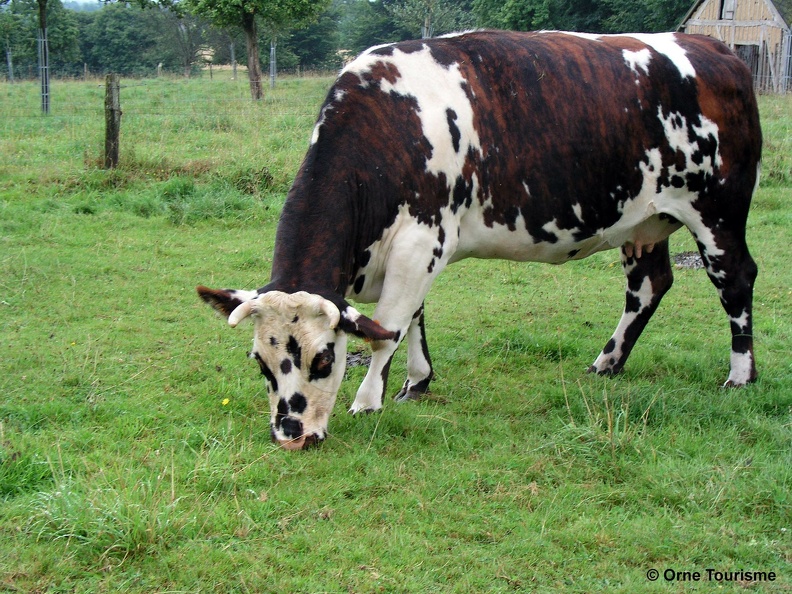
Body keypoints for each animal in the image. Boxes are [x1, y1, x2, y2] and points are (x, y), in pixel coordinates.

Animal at [196, 30, 760, 446]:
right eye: (260, 362)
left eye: (324, 359)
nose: (290, 434)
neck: (388, 127)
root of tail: (714, 48)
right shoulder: (415, 251)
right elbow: (413, 319)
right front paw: (416, 382)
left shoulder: (420, 241)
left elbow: (389, 328)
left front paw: (366, 402)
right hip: (643, 221)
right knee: (648, 285)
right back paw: (607, 363)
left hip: (717, 210)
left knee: (735, 278)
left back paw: (740, 376)